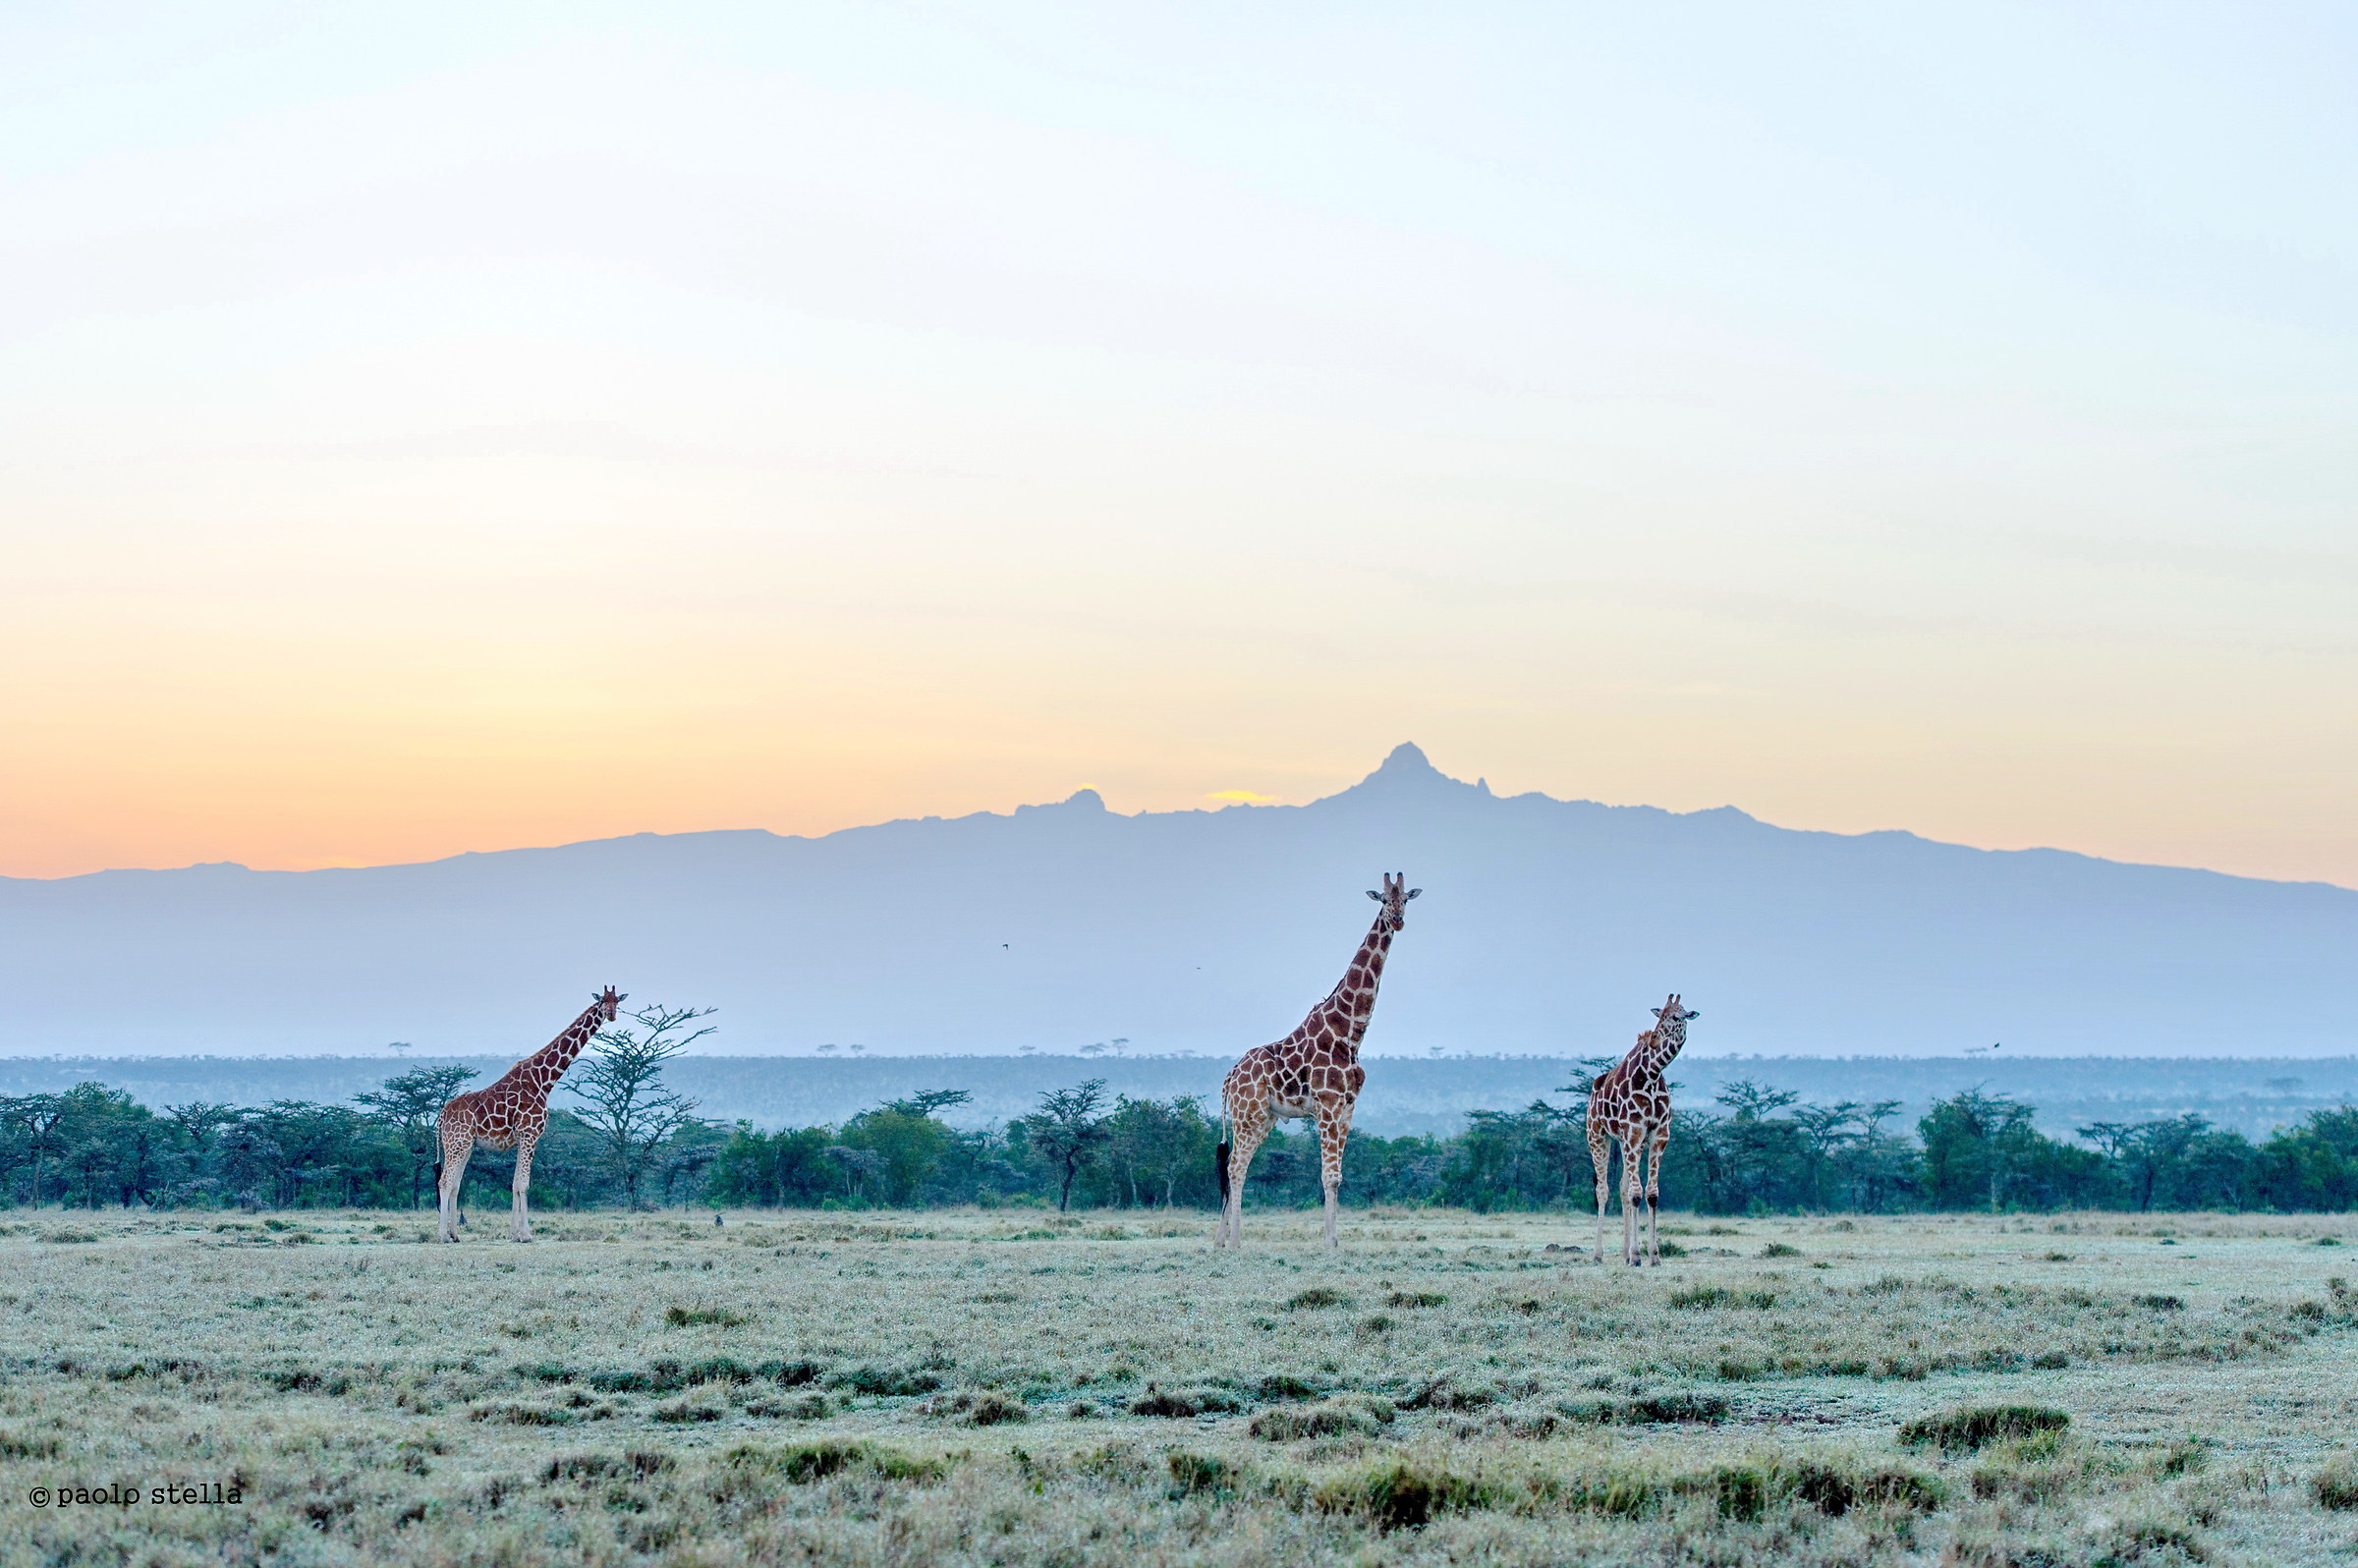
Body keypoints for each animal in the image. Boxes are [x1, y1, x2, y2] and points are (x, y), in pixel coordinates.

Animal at [435, 987, 623, 1243]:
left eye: (618, 1001)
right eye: (603, 1001)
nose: (612, 1015)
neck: (543, 1081)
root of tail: (441, 1115)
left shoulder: (523, 1137)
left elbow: (515, 1183)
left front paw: (514, 1234)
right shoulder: (530, 1134)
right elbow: (523, 1184)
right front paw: (525, 1235)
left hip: (464, 1145)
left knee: (455, 1183)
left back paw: (455, 1235)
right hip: (457, 1142)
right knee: (444, 1182)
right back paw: (443, 1236)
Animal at [1215, 873, 1419, 1251]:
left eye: (1406, 900)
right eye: (1384, 899)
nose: (1398, 920)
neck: (1349, 1032)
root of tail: (1229, 1077)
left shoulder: (1348, 1107)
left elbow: (1337, 1176)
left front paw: (1335, 1241)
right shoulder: (1326, 1104)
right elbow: (1328, 1175)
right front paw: (1328, 1243)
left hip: (1263, 1118)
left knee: (1236, 1165)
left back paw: (1219, 1241)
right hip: (1247, 1115)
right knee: (1236, 1167)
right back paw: (1234, 1242)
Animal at [1585, 994, 1699, 1266]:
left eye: (1677, 1016)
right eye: (1660, 1016)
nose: (1654, 1039)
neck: (1653, 1075)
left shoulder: (1659, 1134)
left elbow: (1651, 1193)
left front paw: (1653, 1255)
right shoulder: (1634, 1130)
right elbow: (1637, 1193)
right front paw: (1638, 1255)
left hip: (1623, 1141)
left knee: (1622, 1188)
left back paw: (1624, 1254)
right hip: (1597, 1135)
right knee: (1603, 1190)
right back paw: (1598, 1254)